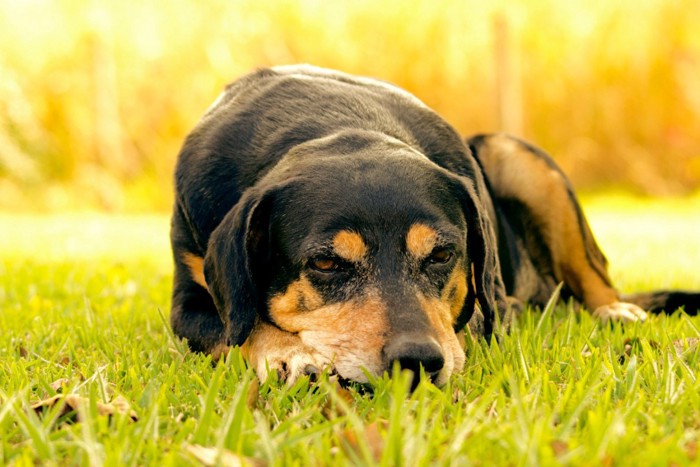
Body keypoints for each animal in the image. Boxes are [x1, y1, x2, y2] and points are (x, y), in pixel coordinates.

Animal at [171, 66, 700, 388]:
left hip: (514, 154)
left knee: (594, 276)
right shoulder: (187, 301)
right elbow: (234, 327)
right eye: (325, 263)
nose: (418, 362)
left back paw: (616, 311)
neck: (331, 123)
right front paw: (287, 352)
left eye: (443, 255)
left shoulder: (485, 309)